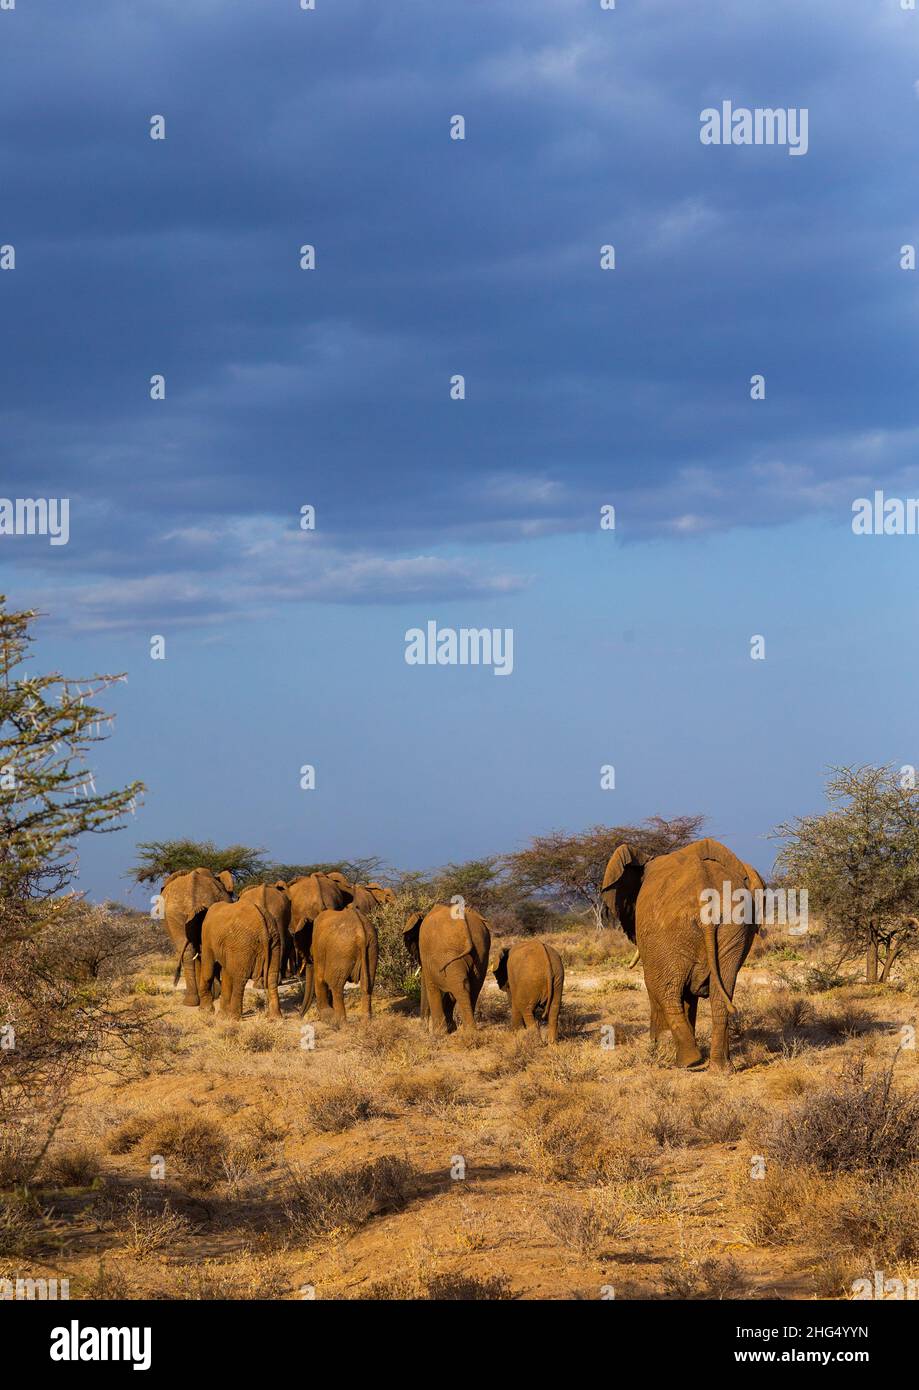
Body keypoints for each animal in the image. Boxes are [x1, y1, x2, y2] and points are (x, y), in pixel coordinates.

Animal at [400, 900, 486, 1034]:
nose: (423, 1029)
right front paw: (451, 1029)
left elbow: (430, 986)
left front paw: (439, 1033)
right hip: (480, 949)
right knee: (469, 985)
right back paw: (469, 1031)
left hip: (444, 953)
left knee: (458, 985)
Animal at [597, 834, 761, 1073]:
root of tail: (705, 895)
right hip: (734, 926)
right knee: (721, 993)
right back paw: (721, 1068)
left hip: (668, 932)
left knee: (662, 988)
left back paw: (687, 1062)